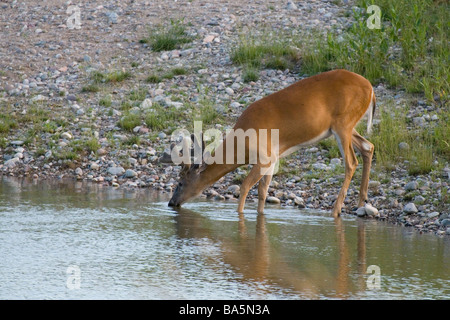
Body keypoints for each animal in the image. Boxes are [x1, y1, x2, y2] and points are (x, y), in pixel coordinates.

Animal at [163, 69, 374, 218]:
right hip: (347, 126)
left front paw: (238, 214)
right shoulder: (273, 159)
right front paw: (260, 215)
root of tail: (371, 89)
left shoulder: (264, 156)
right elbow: (263, 191)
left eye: (180, 182)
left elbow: (245, 186)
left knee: (351, 162)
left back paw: (336, 210)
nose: (171, 203)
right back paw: (361, 201)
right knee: (368, 146)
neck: (242, 143)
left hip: (343, 124)